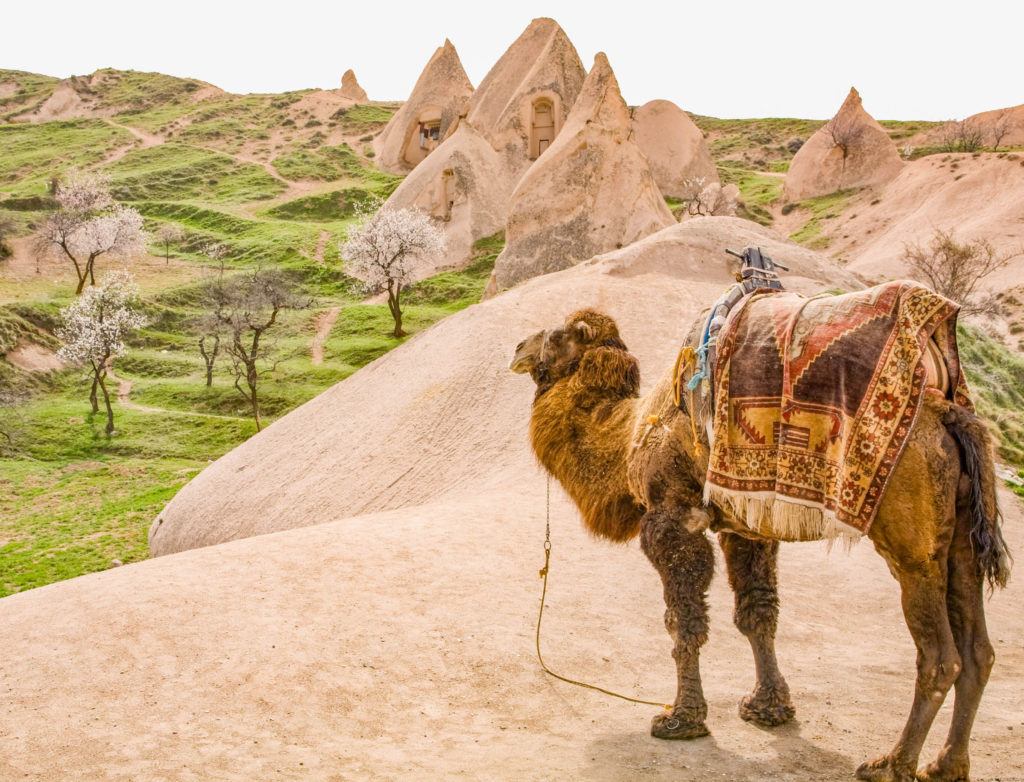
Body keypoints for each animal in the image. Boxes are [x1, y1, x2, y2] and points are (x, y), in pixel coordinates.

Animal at [509, 307, 1010, 782]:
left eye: (557, 335)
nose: (517, 348)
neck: (630, 433)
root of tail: (950, 416)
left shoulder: (671, 518)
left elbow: (683, 620)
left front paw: (681, 718)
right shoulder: (745, 529)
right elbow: (757, 614)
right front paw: (768, 708)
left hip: (911, 546)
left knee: (940, 658)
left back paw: (892, 764)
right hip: (961, 538)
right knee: (979, 652)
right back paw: (946, 765)